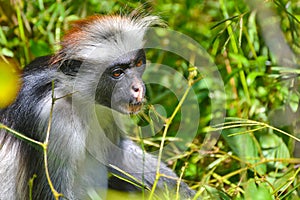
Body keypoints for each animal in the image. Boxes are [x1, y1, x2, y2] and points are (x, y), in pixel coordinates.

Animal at [0, 13, 196, 199]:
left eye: (138, 63)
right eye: (117, 73)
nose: (138, 88)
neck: (74, 94)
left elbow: (116, 150)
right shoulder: (53, 118)